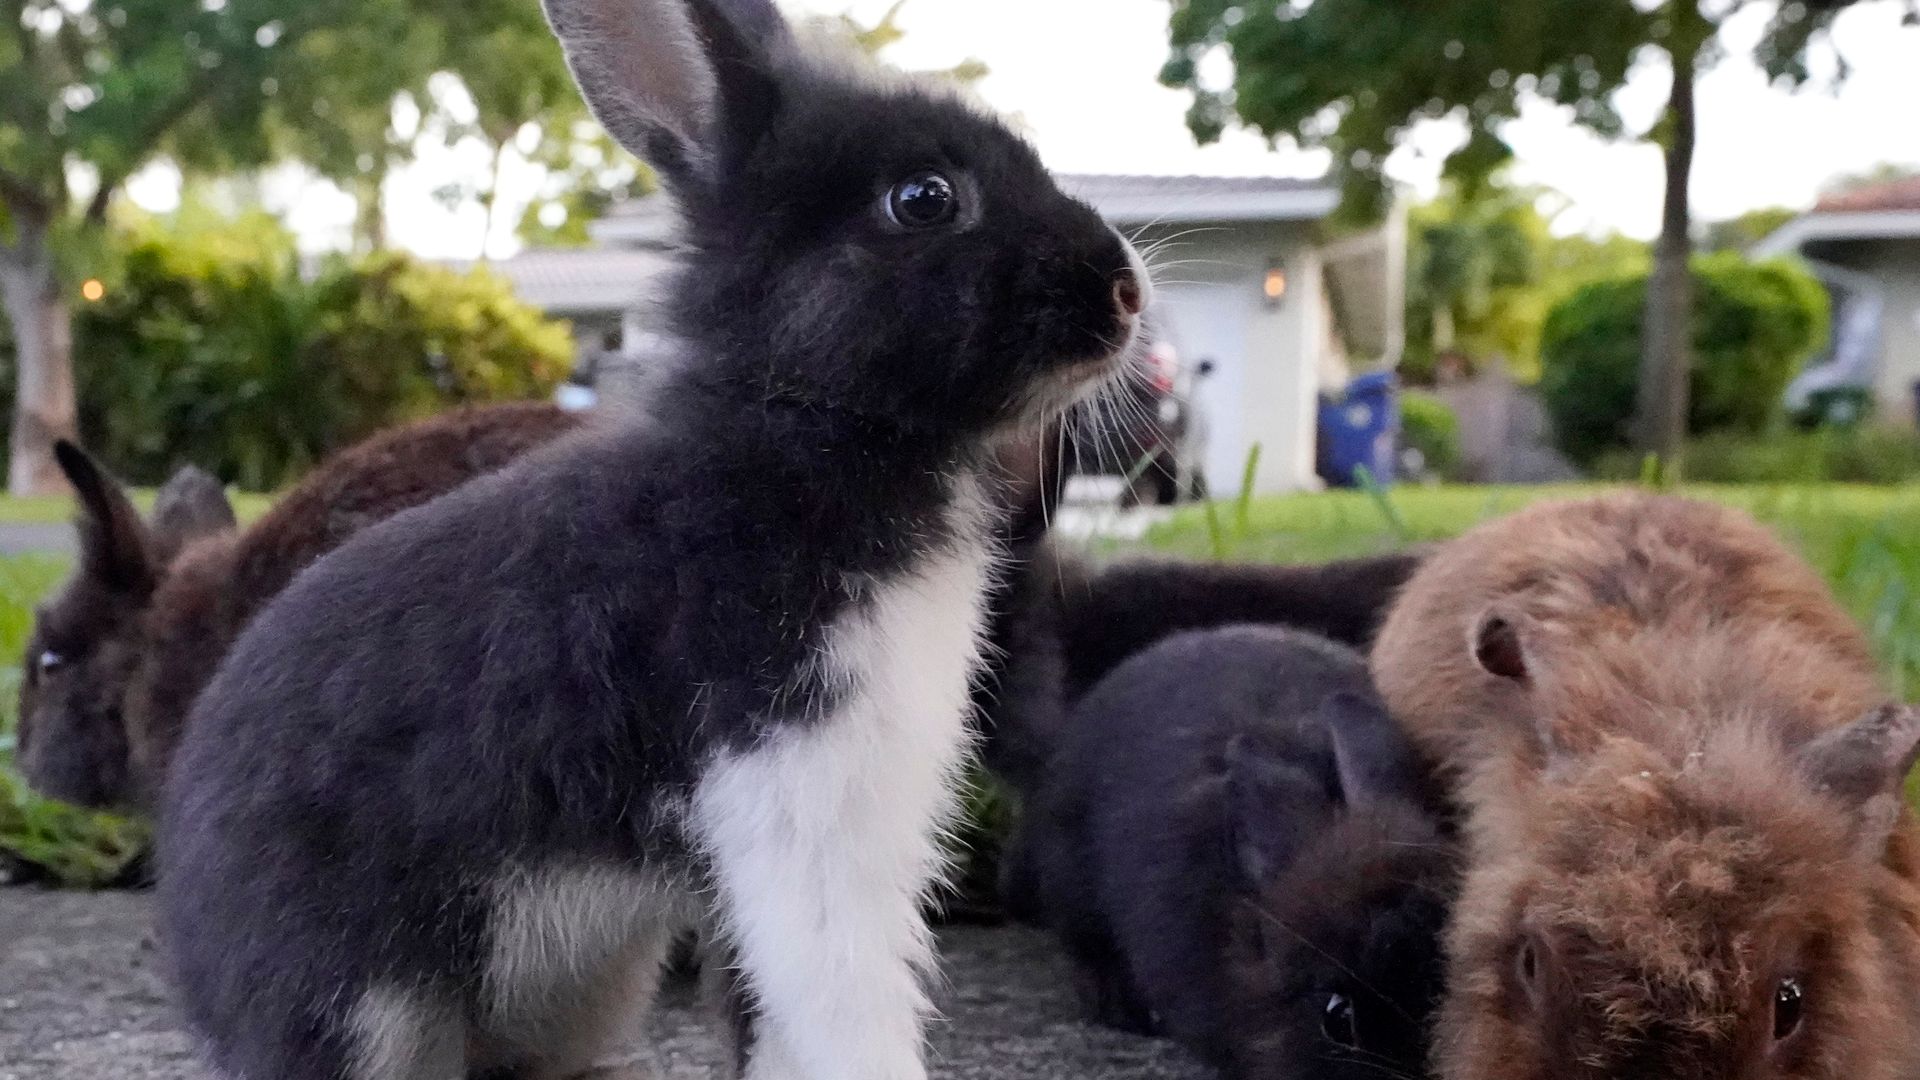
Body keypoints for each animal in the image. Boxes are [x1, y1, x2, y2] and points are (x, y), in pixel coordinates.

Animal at [157, 2, 1144, 1076]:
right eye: (923, 199)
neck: (806, 427)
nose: (1125, 290)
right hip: (362, 1011)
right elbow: (844, 998)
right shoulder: (799, 789)